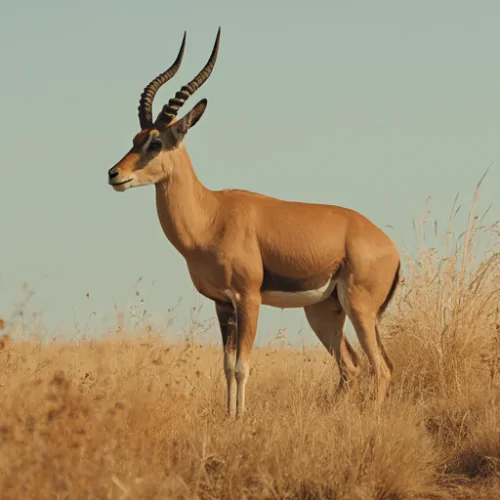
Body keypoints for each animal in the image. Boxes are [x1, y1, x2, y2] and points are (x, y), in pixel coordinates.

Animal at [107, 28, 400, 418]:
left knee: (381, 367)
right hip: (323, 311)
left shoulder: (248, 299)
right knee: (351, 366)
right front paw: (229, 416)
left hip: (360, 309)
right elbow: (227, 366)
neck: (212, 217)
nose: (114, 174)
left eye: (155, 142)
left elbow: (243, 366)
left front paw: (240, 418)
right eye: (135, 138)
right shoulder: (222, 304)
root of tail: (389, 247)